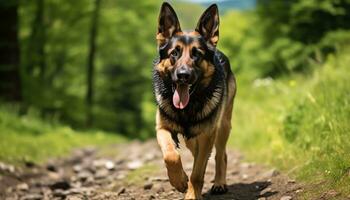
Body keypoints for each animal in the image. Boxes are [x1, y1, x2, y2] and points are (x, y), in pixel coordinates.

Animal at [152, 2, 237, 199]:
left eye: (196, 54)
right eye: (174, 53)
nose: (183, 76)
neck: (187, 108)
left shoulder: (207, 135)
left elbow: (197, 173)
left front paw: (191, 193)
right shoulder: (162, 129)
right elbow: (171, 156)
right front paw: (179, 181)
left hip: (223, 126)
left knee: (220, 155)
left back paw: (219, 183)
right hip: (192, 138)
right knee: (195, 150)